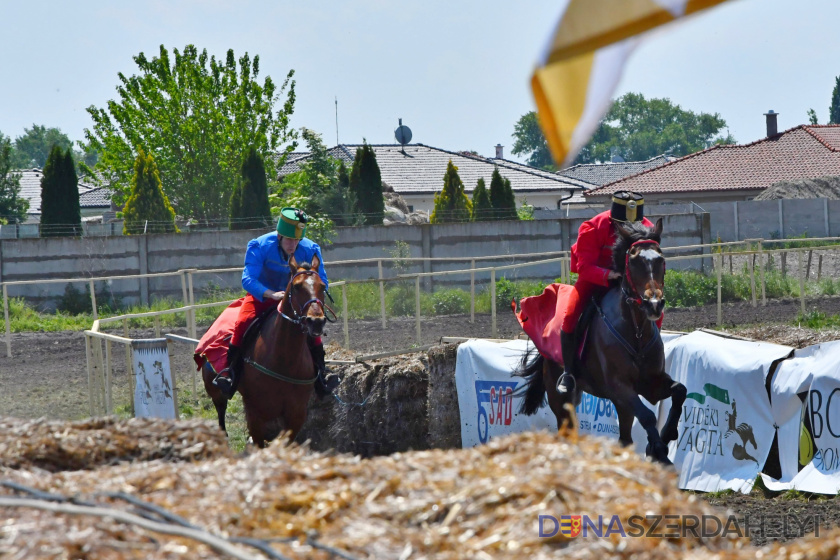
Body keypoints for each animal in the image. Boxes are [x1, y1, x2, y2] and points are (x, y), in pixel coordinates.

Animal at [203, 256, 332, 448]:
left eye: (322, 286)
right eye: (297, 286)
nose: (316, 321)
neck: (284, 360)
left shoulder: (296, 413)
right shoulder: (255, 414)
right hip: (215, 391)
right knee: (221, 412)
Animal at [516, 218, 684, 464]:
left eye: (661, 259)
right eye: (633, 261)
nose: (654, 304)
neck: (635, 330)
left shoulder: (650, 384)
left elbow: (680, 390)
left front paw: (667, 434)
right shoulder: (619, 386)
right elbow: (647, 416)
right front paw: (659, 451)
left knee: (624, 438)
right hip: (561, 397)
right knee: (567, 430)